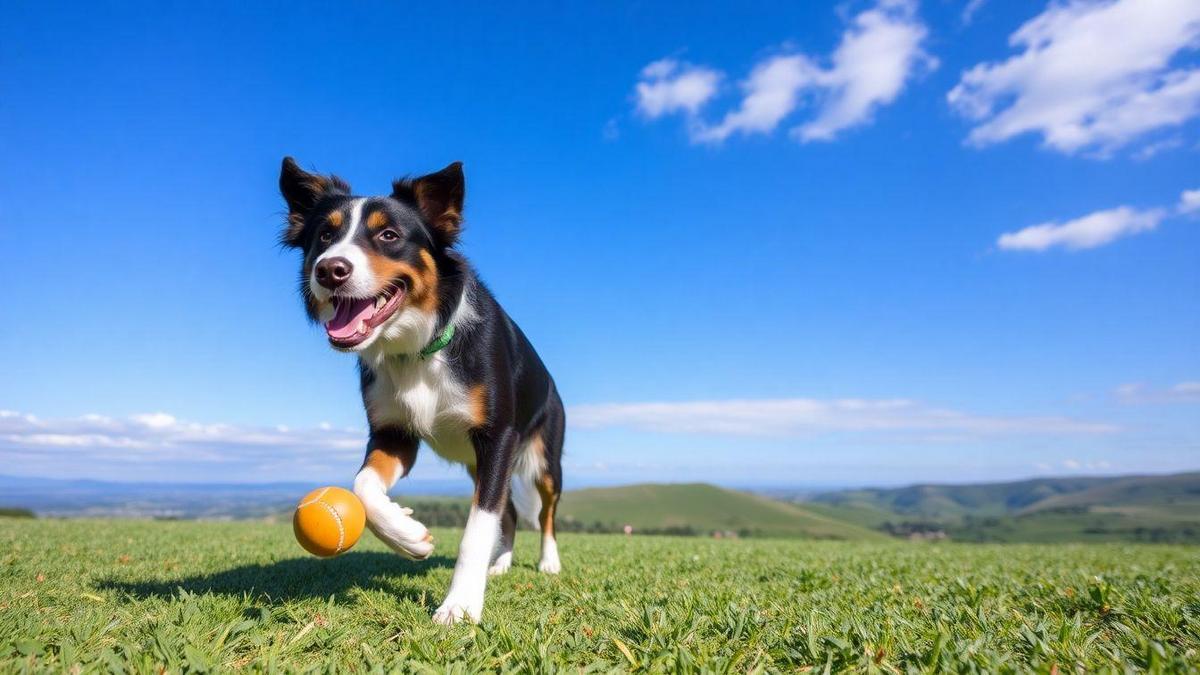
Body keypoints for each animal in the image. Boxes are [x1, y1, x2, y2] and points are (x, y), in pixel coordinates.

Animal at [278, 156, 564, 619]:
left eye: (389, 235)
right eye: (325, 235)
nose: (329, 270)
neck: (419, 349)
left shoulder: (498, 437)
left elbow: (477, 527)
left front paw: (460, 605)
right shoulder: (394, 434)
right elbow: (363, 486)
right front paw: (407, 534)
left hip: (544, 459)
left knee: (546, 513)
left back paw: (548, 562)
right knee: (510, 514)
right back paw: (501, 563)